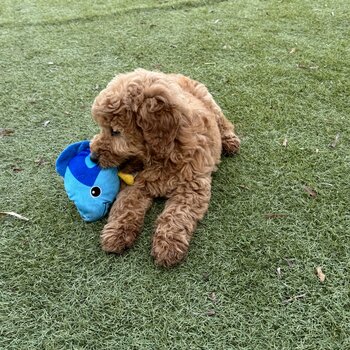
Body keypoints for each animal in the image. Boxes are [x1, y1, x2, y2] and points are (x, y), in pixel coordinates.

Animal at [89, 67, 241, 266]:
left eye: (115, 131)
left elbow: (177, 214)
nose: (92, 157)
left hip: (209, 101)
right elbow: (126, 203)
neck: (164, 154)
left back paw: (230, 141)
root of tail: (175, 75)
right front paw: (117, 232)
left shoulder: (191, 187)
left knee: (223, 121)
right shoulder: (137, 183)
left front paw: (168, 245)